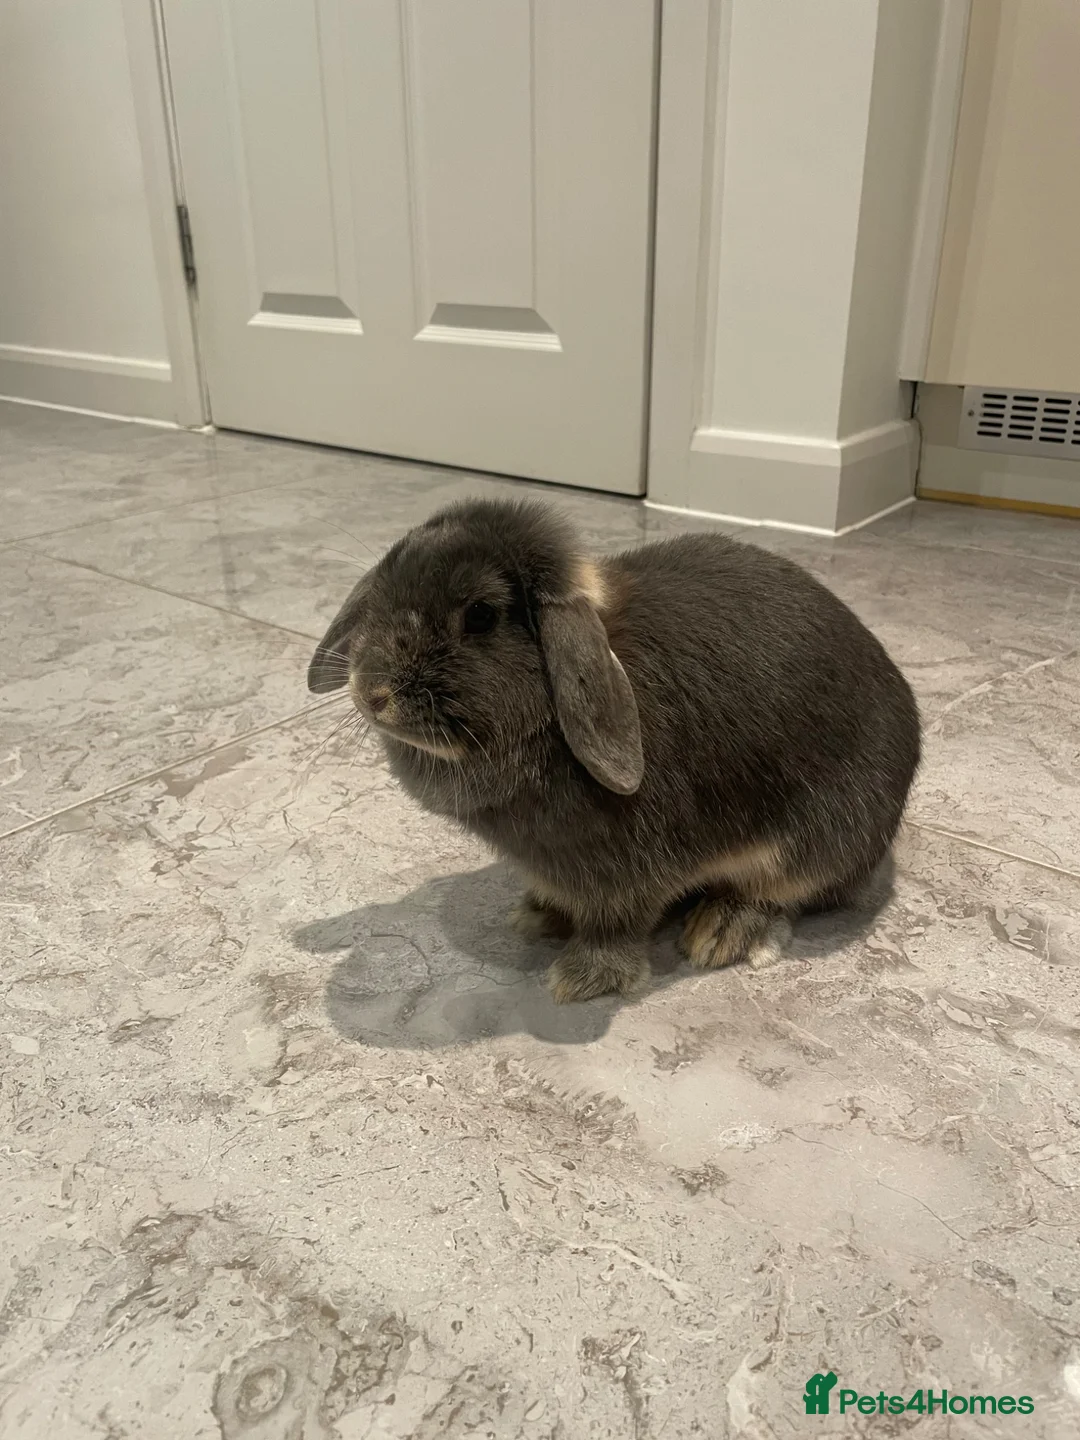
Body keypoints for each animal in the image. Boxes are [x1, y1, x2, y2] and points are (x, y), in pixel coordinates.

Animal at [308, 499, 920, 1003]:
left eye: (480, 615)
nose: (373, 693)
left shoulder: (630, 874)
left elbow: (617, 925)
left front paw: (580, 979)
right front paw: (536, 915)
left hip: (815, 843)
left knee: (785, 892)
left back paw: (722, 931)